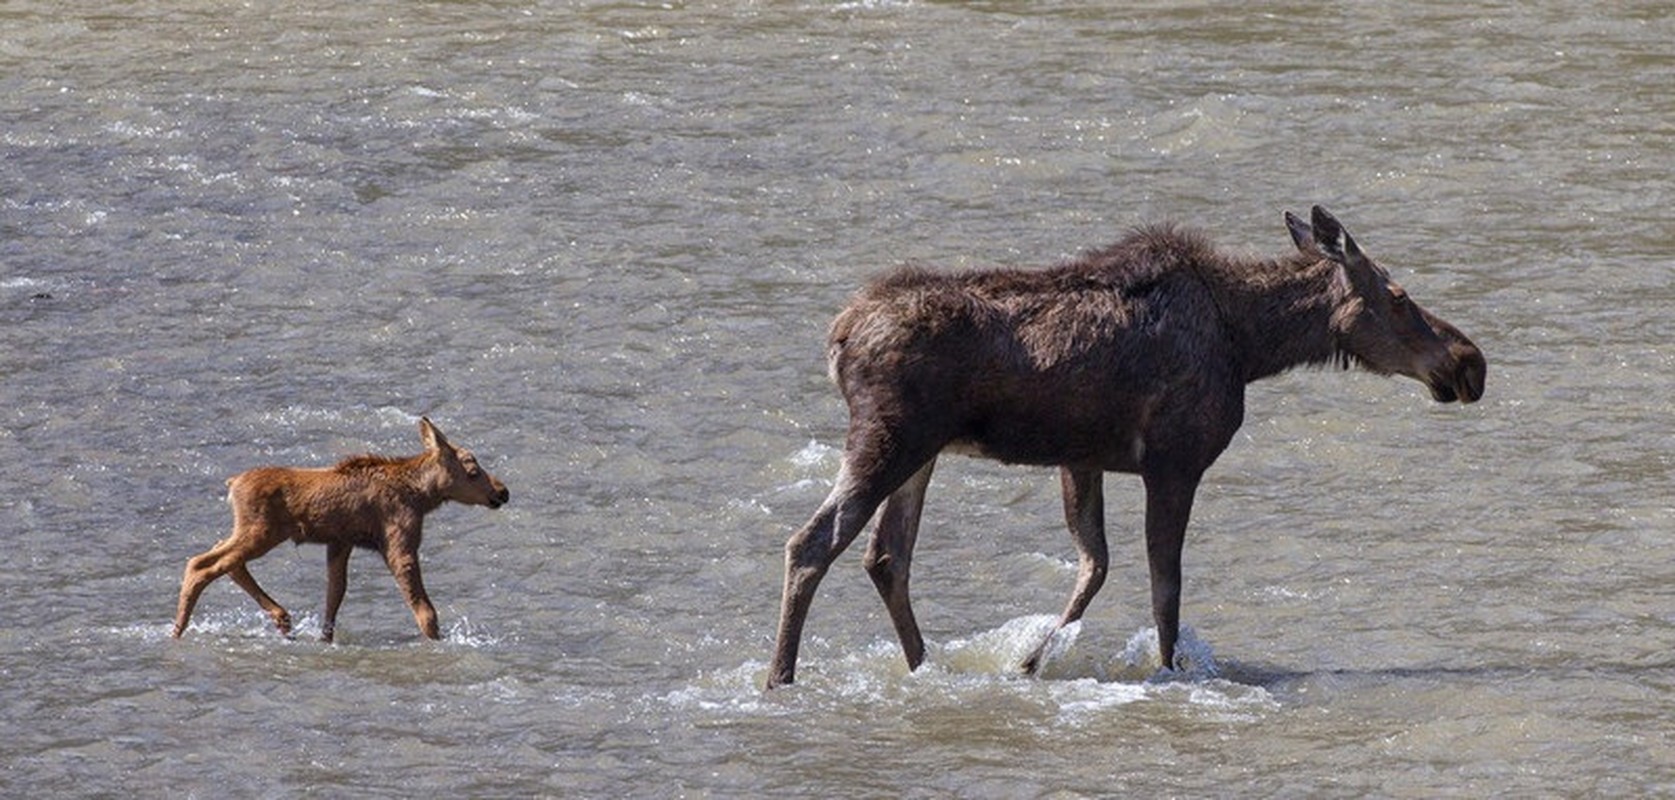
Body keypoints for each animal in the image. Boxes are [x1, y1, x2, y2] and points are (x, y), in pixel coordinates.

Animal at [170, 418, 512, 642]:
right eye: (472, 468)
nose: (503, 491)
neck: (422, 496)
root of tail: (232, 483)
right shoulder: (398, 543)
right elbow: (424, 610)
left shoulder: (339, 542)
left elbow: (334, 596)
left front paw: (325, 640)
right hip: (262, 532)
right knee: (202, 564)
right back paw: (178, 630)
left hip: (252, 531)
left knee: (220, 555)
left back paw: (281, 618)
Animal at [767, 205, 1487, 686]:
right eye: (1398, 295)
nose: (1469, 361)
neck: (1251, 344)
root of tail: (837, 334)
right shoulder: (1175, 460)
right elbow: (1164, 587)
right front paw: (1166, 672)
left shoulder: (1081, 458)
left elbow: (1095, 565)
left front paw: (1029, 661)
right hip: (889, 439)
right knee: (812, 544)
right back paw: (781, 678)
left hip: (922, 453)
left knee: (886, 557)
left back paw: (924, 667)